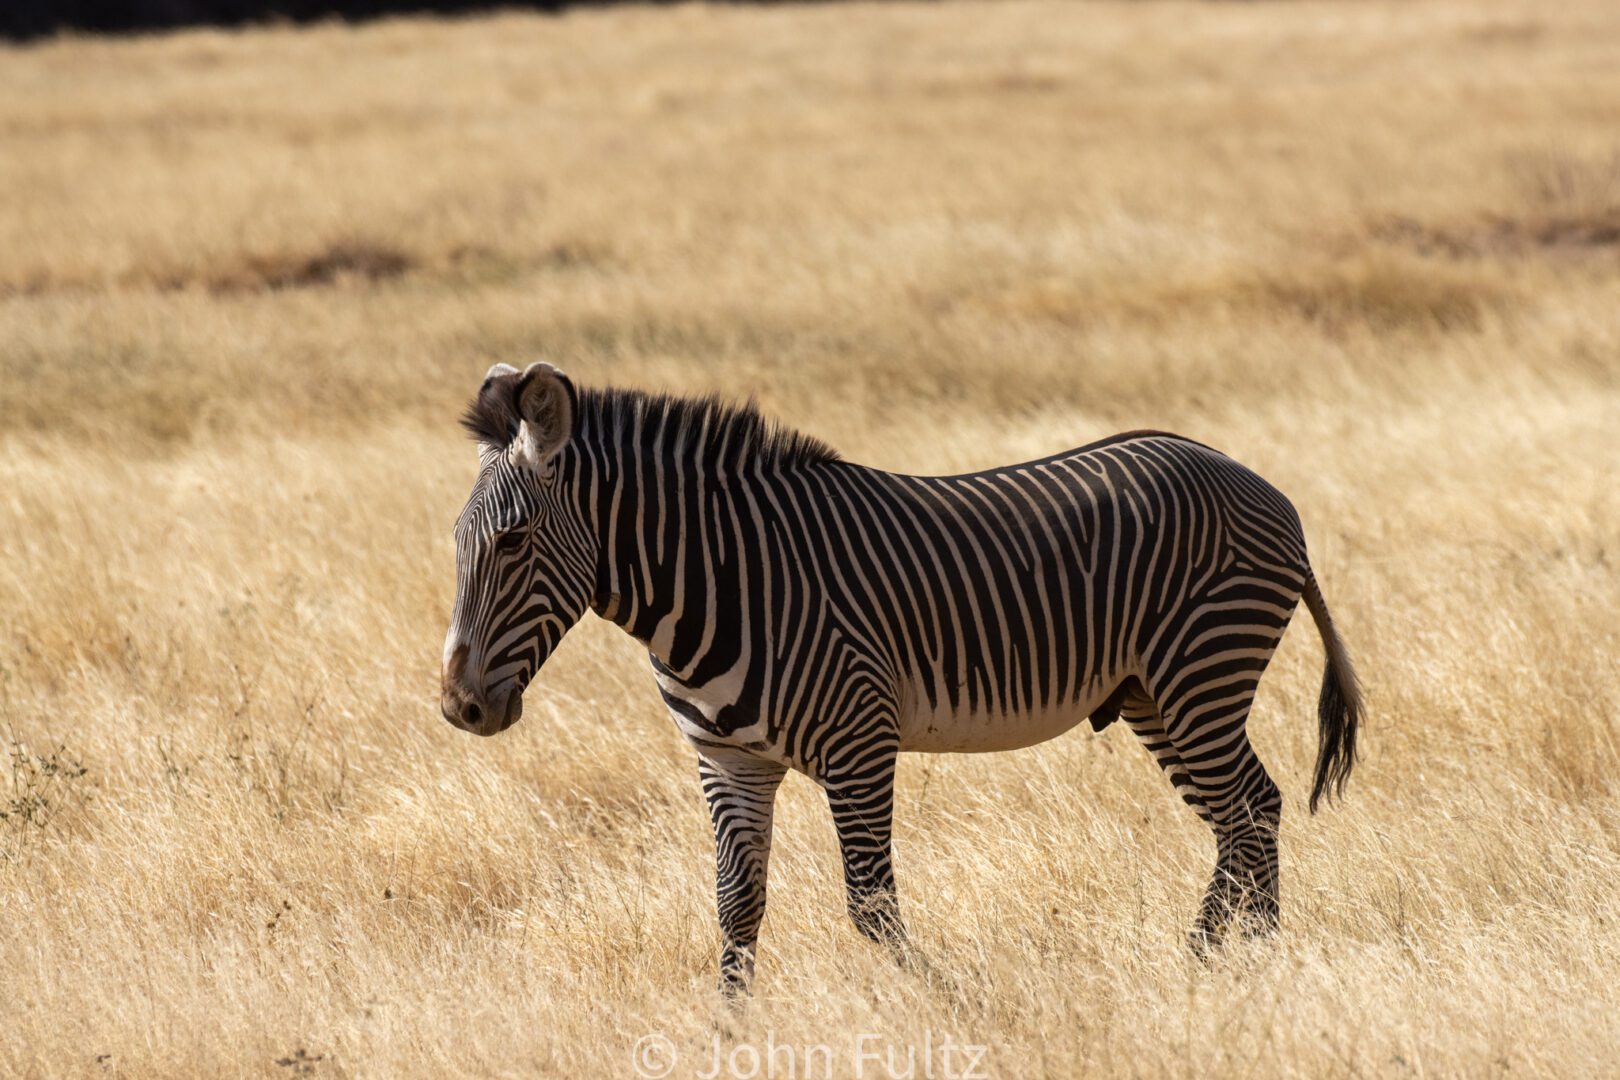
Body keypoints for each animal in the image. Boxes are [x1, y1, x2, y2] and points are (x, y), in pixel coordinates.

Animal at [437, 362, 1360, 997]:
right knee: (1246, 813)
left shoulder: (859, 743)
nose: (459, 707)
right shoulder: (729, 761)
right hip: (1156, 696)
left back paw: (1233, 962)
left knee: (1249, 812)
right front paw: (727, 1030)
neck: (725, 583)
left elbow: (871, 906)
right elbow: (737, 907)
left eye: (513, 541)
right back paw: (1221, 962)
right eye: (456, 540)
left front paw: (949, 1002)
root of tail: (1260, 485)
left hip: (1202, 673)